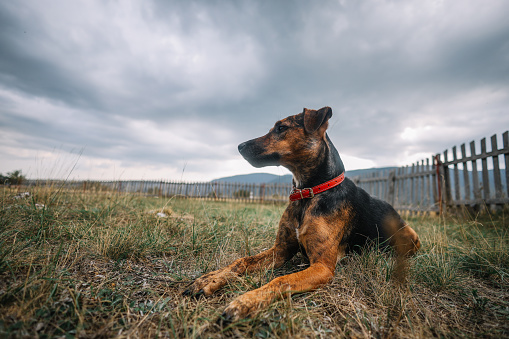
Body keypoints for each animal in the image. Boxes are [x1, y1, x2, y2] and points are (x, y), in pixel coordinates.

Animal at [184, 107, 420, 322]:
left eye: (281, 128)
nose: (239, 146)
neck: (309, 193)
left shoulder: (322, 267)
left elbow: (281, 280)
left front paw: (245, 302)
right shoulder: (281, 250)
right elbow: (241, 261)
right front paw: (208, 280)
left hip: (410, 236)